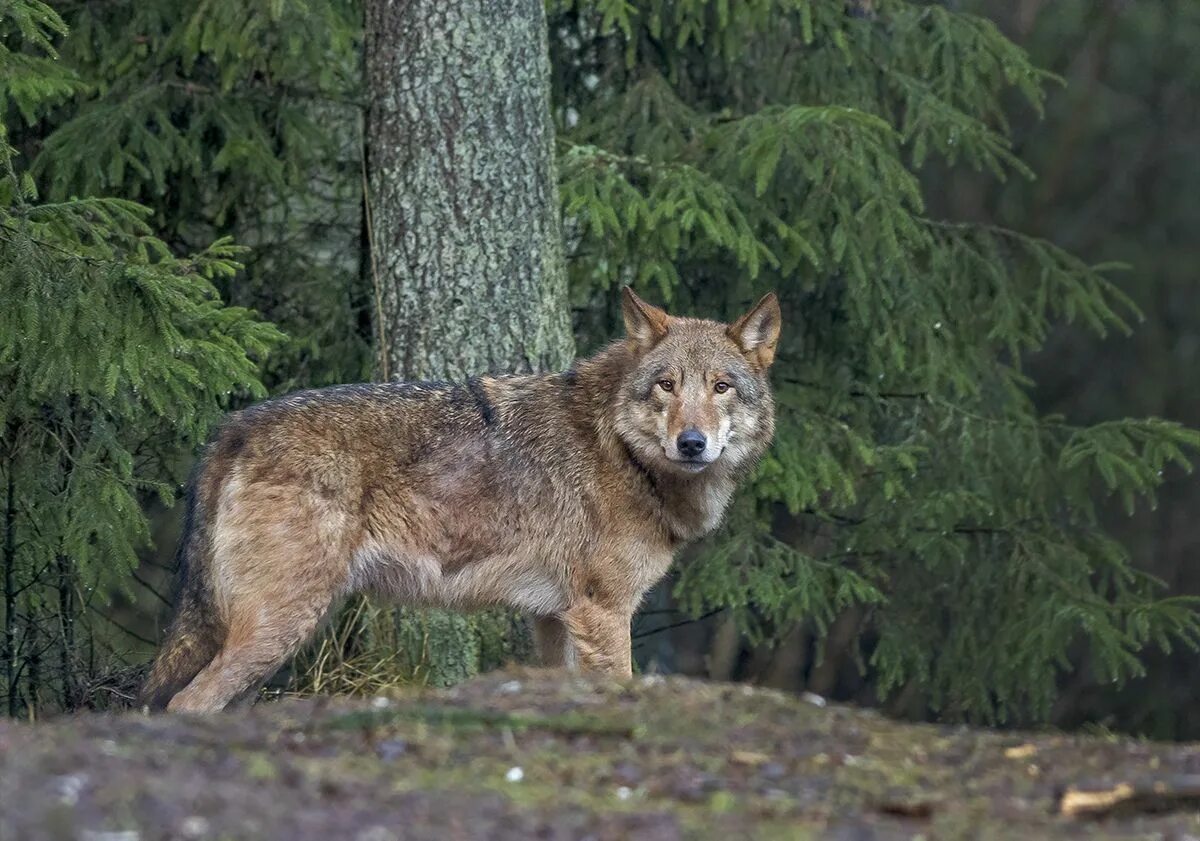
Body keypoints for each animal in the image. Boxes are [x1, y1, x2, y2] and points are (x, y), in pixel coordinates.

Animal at [140, 286, 782, 710]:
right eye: (667, 385)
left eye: (721, 387)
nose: (692, 443)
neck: (622, 450)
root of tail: (233, 426)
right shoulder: (603, 614)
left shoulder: (556, 619)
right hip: (281, 624)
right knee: (185, 703)